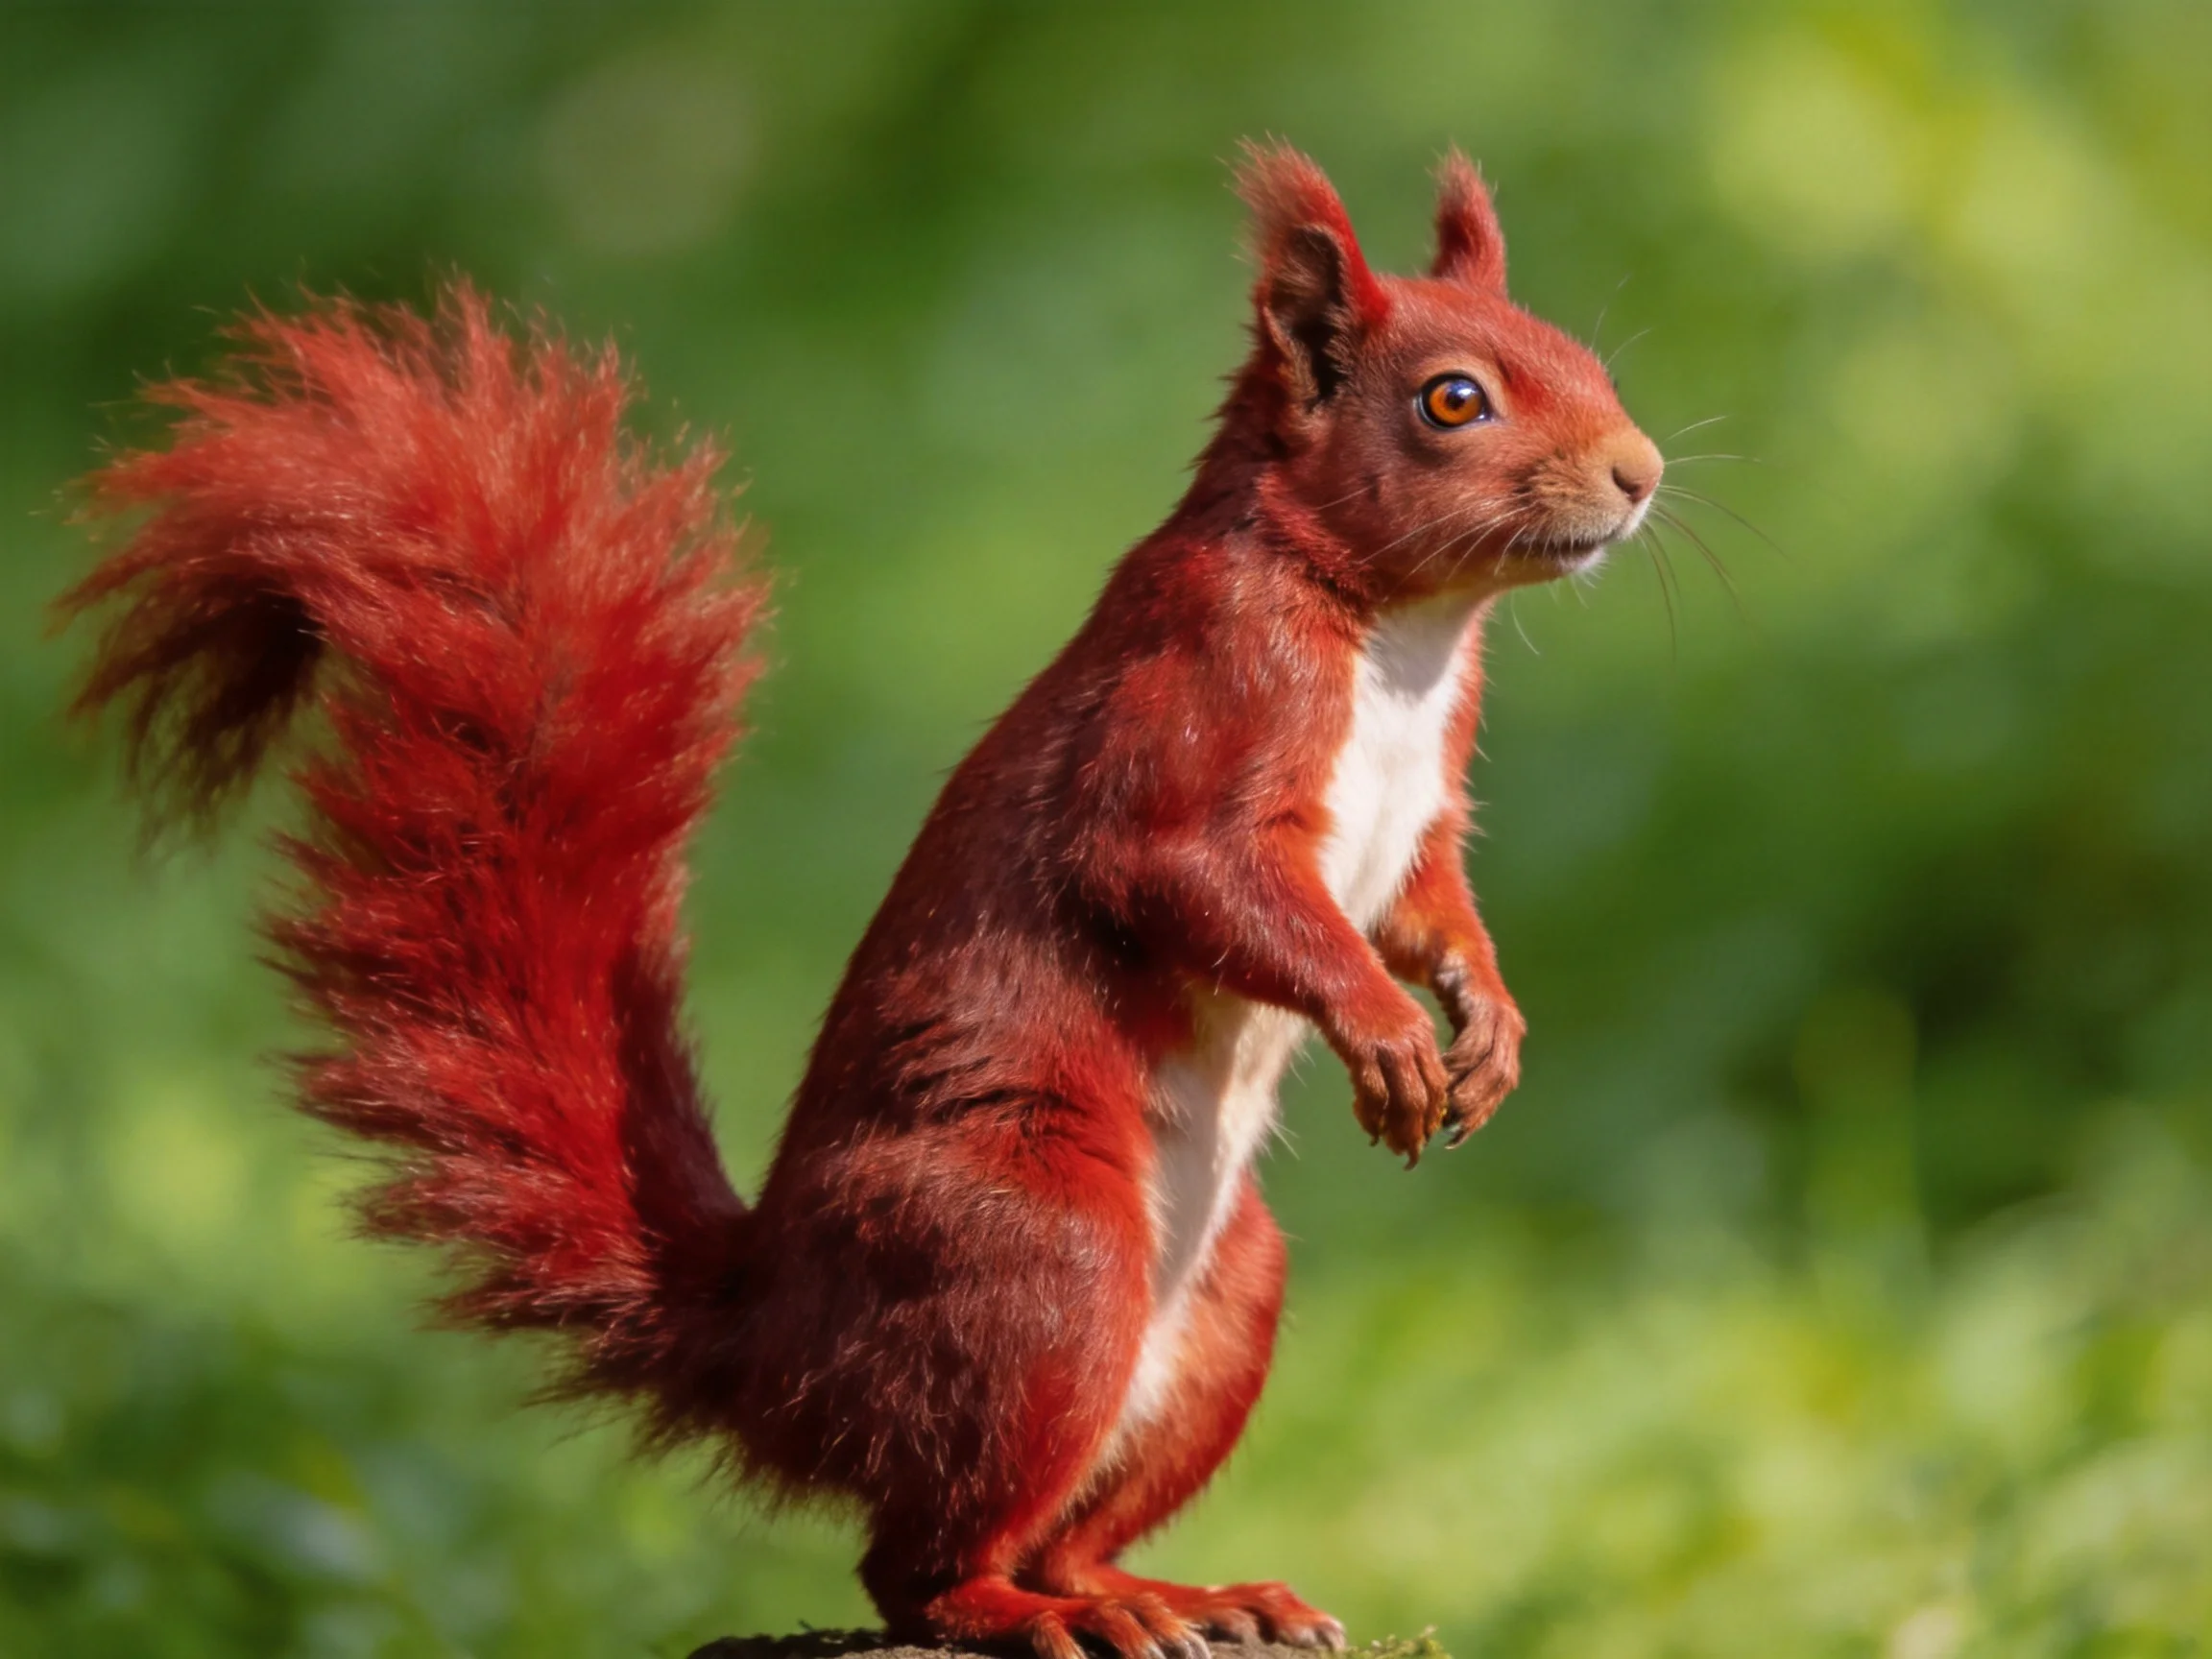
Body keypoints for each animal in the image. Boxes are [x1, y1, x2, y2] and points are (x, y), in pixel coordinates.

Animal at [62, 144, 1661, 1659]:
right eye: (1453, 400)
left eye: (1588, 361)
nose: (1642, 472)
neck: (1401, 632)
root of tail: (773, 1342)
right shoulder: (1194, 710)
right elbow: (1200, 881)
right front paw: (1382, 1032)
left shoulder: (1424, 814)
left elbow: (1430, 909)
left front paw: (1486, 1022)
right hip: (1037, 1259)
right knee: (918, 1569)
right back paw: (1042, 1612)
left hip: (1223, 1296)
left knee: (1049, 1530)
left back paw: (1180, 1593)